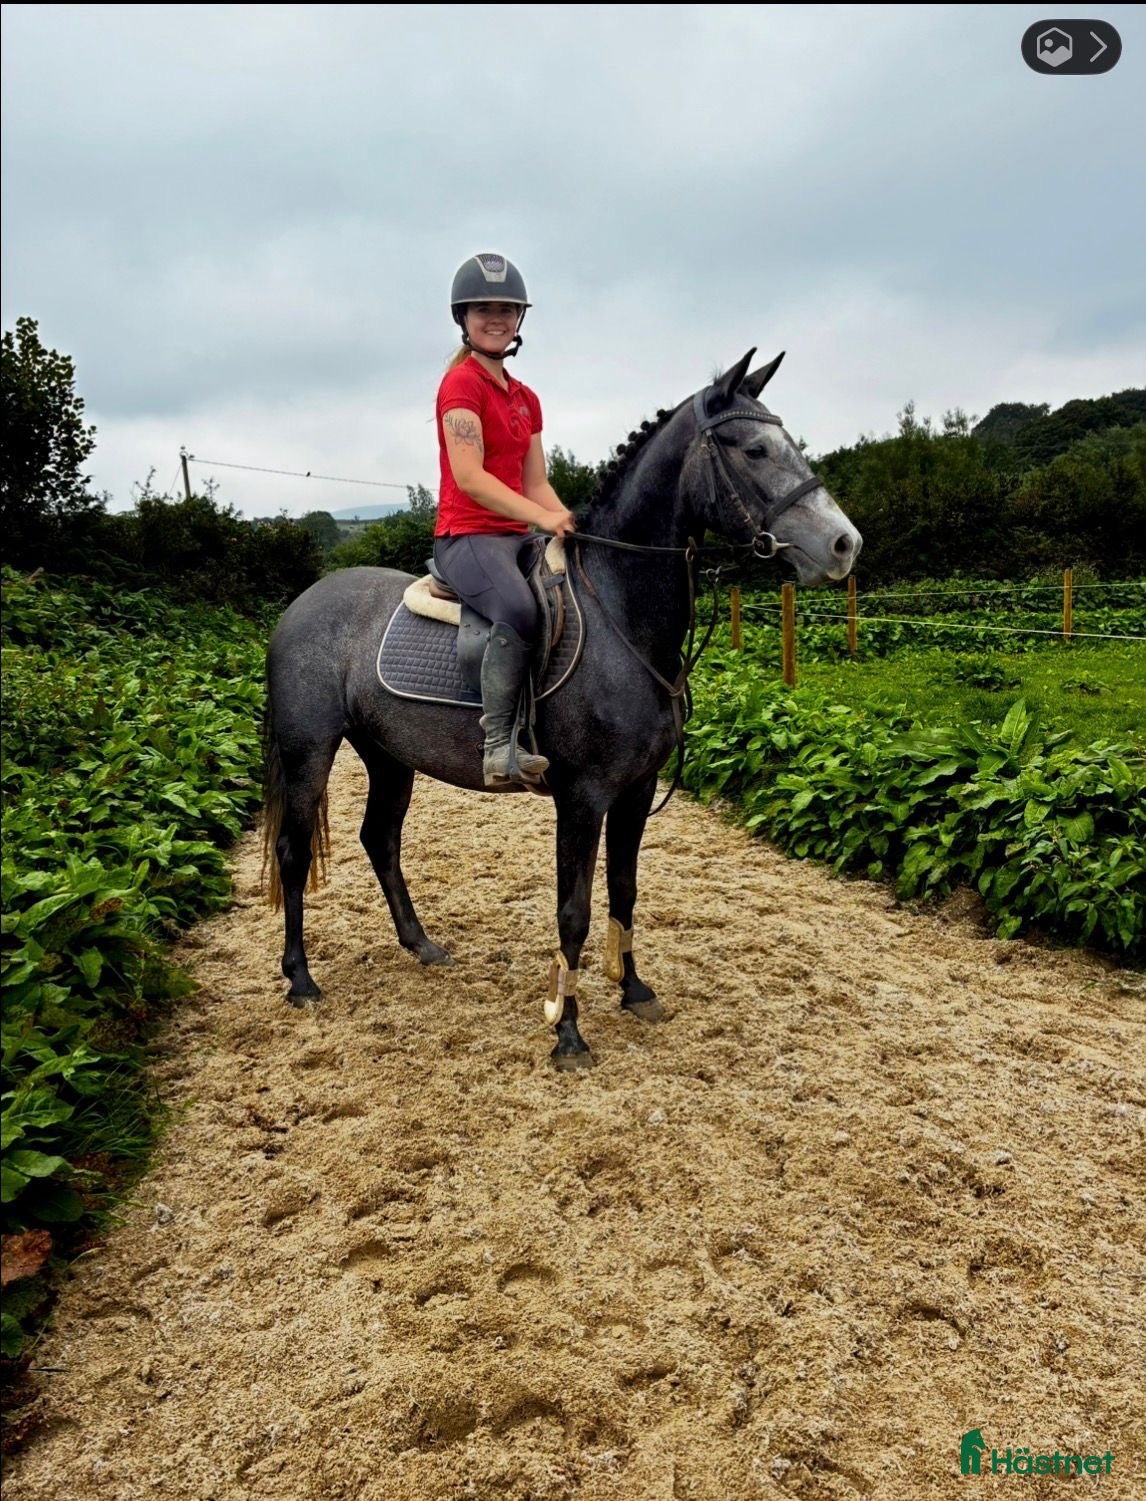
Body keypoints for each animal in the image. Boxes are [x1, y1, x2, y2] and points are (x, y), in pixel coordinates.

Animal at [261, 348, 861, 1069]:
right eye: (754, 448)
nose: (845, 544)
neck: (619, 613)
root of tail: (302, 602)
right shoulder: (582, 796)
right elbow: (572, 911)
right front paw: (568, 1031)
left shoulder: (636, 790)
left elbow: (625, 891)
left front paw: (634, 990)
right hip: (309, 752)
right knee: (295, 851)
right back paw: (300, 978)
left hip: (388, 754)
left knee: (380, 838)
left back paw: (421, 944)